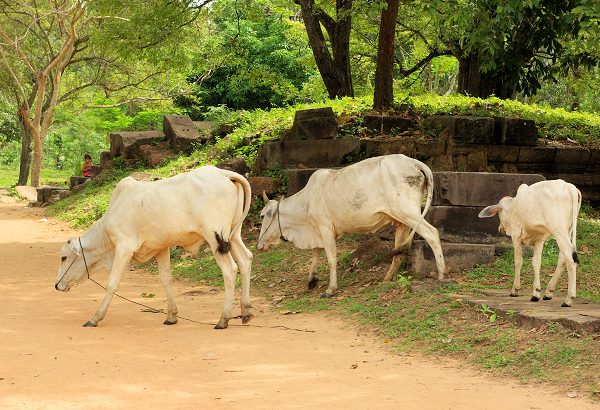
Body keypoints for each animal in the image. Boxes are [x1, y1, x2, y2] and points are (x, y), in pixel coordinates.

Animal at [54, 165, 253, 328]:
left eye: (64, 257)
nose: (56, 286)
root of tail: (225, 174)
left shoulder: (124, 247)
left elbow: (112, 283)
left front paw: (95, 318)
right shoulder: (160, 248)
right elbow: (166, 279)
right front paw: (171, 316)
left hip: (215, 238)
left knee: (230, 269)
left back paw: (223, 319)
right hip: (233, 235)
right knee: (245, 259)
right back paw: (246, 311)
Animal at [254, 153, 446, 294]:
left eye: (262, 216)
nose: (258, 245)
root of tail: (414, 162)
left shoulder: (325, 229)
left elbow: (330, 259)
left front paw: (330, 289)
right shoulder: (318, 232)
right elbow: (315, 255)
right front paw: (311, 280)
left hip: (408, 212)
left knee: (432, 233)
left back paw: (442, 274)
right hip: (400, 220)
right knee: (398, 249)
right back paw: (387, 279)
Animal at [478, 180, 580, 308]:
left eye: (499, 213)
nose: (500, 228)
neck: (513, 206)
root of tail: (568, 186)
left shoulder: (516, 235)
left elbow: (518, 261)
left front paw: (515, 289)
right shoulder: (539, 239)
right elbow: (536, 262)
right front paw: (536, 292)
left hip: (558, 229)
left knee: (570, 259)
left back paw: (568, 299)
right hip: (568, 230)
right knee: (563, 257)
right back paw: (549, 292)